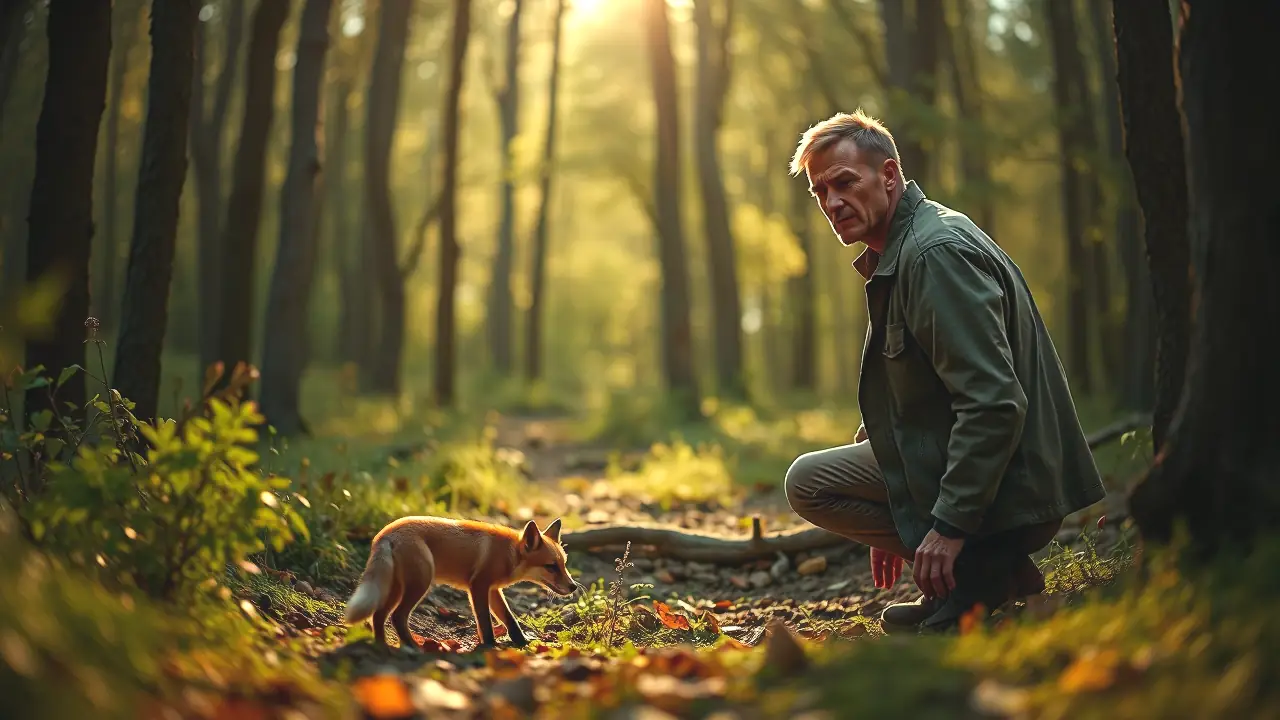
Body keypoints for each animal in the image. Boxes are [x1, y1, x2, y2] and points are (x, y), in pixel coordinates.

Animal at [342, 515, 580, 650]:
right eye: (551, 567)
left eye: (564, 564)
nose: (573, 587)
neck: (509, 554)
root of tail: (384, 534)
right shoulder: (479, 585)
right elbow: (484, 622)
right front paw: (490, 646)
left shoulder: (493, 590)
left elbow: (510, 620)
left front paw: (522, 643)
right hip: (419, 584)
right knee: (397, 616)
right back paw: (412, 647)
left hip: (397, 588)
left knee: (378, 615)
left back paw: (382, 646)